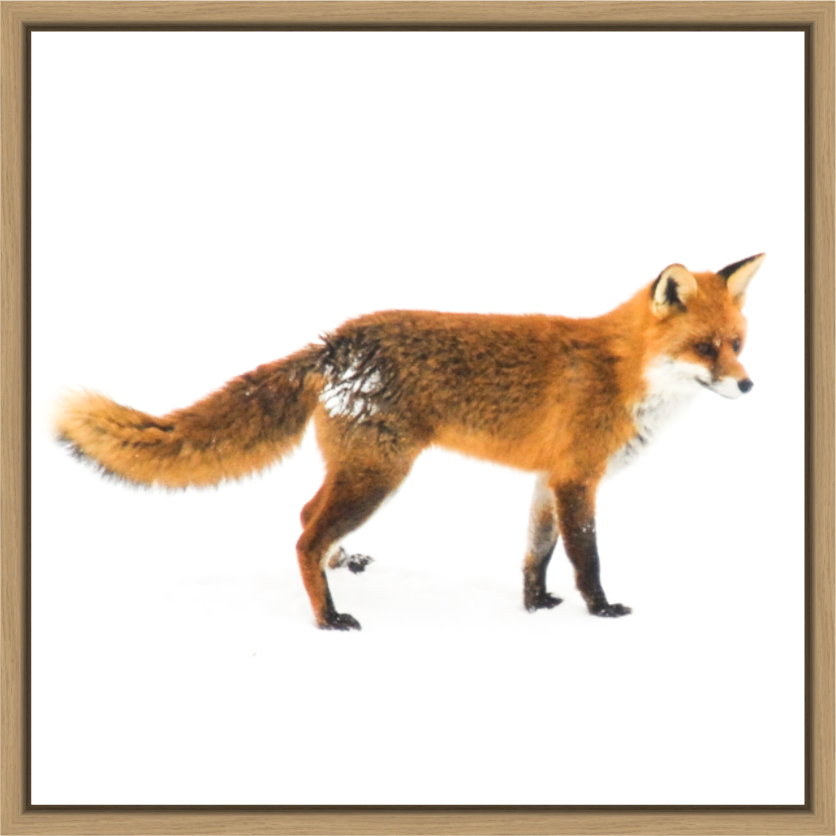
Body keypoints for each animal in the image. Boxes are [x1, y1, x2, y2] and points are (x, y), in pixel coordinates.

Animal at [55, 254, 763, 630]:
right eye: (705, 348)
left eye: (737, 343)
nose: (749, 385)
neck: (624, 373)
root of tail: (334, 344)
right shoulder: (577, 479)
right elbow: (585, 557)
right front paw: (601, 611)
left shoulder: (548, 479)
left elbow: (536, 554)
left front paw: (534, 606)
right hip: (381, 476)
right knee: (305, 534)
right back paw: (328, 618)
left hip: (363, 472)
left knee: (305, 516)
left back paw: (343, 567)